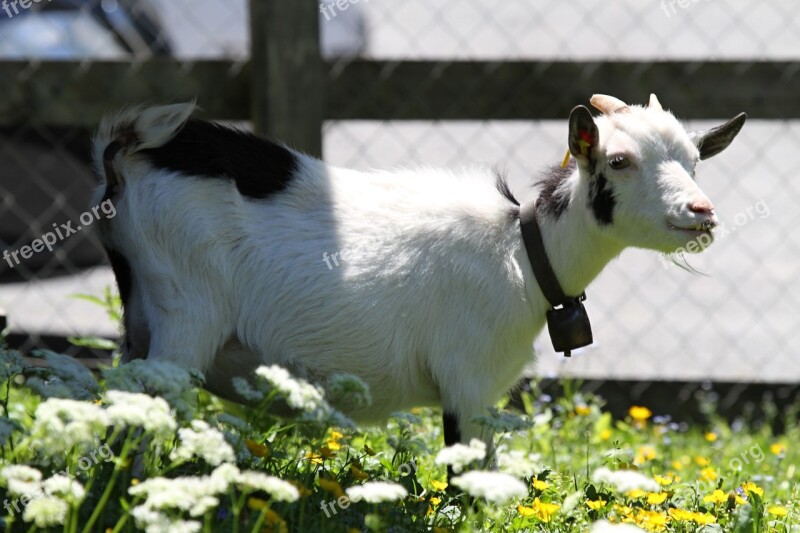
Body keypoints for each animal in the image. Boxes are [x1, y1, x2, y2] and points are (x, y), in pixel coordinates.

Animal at [90, 94, 748, 448]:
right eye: (618, 161)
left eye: (694, 161)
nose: (702, 213)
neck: (519, 251)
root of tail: (126, 156)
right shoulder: (467, 382)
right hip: (185, 316)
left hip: (141, 325)